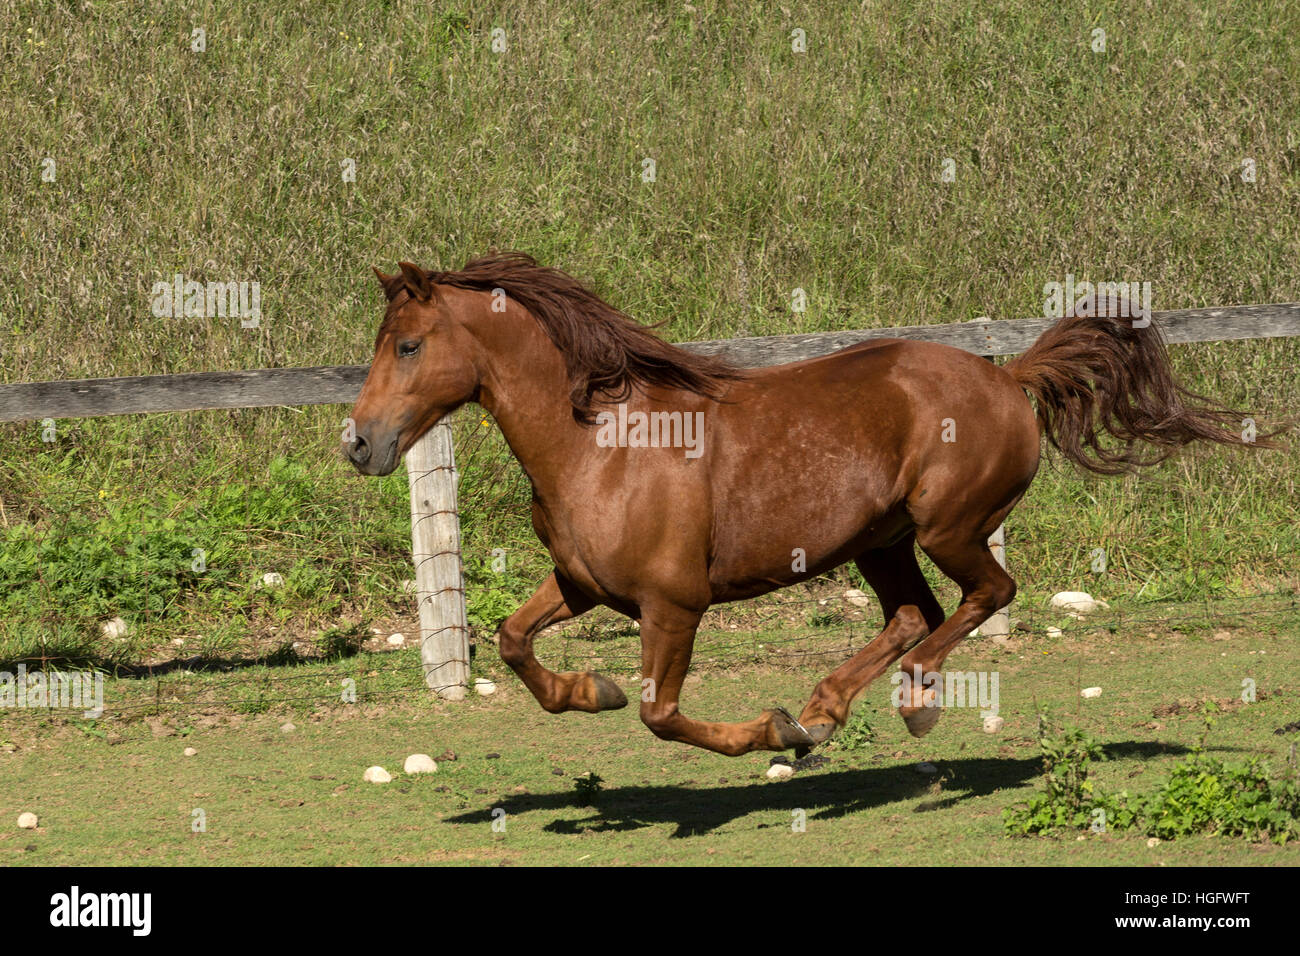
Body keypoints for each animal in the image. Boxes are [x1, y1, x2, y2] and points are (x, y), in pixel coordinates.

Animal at [348, 252, 1268, 754]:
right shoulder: (582, 585)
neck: (601, 443)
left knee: (986, 594)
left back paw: (910, 702)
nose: (359, 444)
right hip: (880, 541)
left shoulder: (674, 605)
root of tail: (1008, 379)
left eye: (410, 345)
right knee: (912, 614)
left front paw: (773, 731)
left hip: (950, 526)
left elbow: (662, 715)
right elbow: (511, 641)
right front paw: (590, 690)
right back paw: (829, 707)